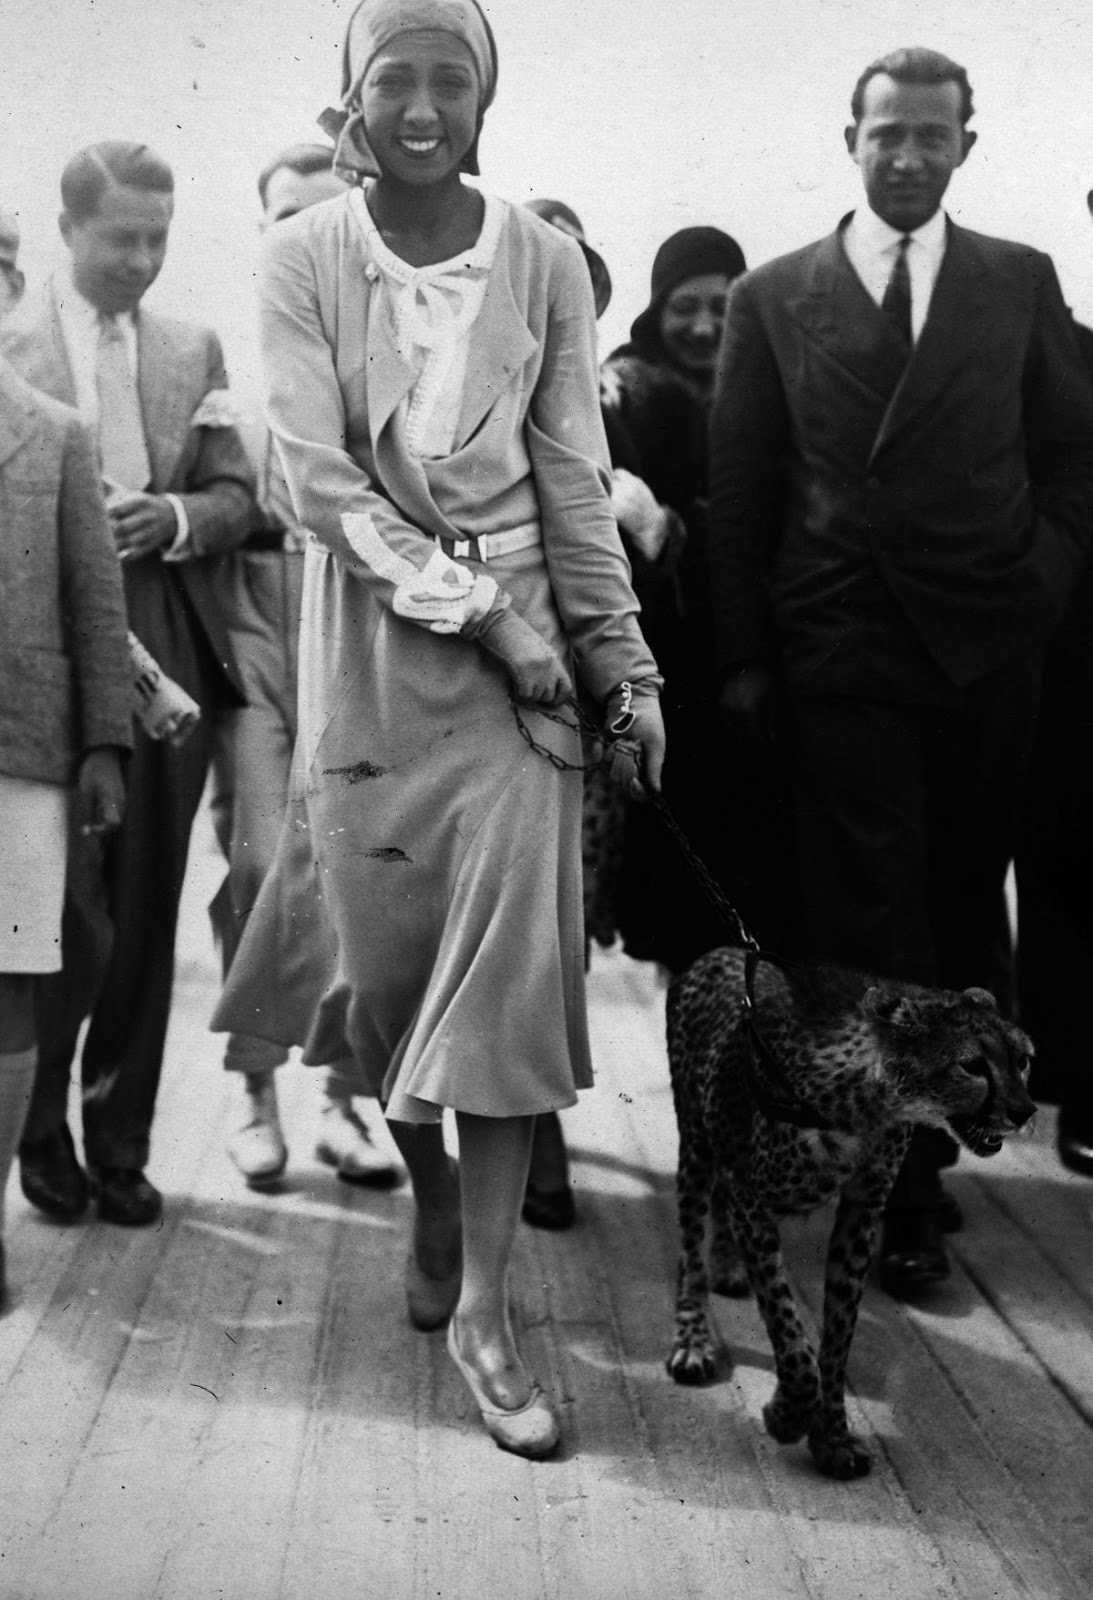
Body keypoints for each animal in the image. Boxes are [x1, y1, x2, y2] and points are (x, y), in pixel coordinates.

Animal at [665, 940, 1036, 1478]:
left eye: (1023, 1061)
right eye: (972, 1065)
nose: (1024, 1111)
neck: (871, 1098)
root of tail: (727, 948)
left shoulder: (861, 1209)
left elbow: (838, 1336)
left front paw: (832, 1437)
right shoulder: (755, 1204)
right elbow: (789, 1330)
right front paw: (786, 1416)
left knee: (718, 1203)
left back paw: (728, 1266)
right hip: (695, 1140)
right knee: (691, 1246)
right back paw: (693, 1339)